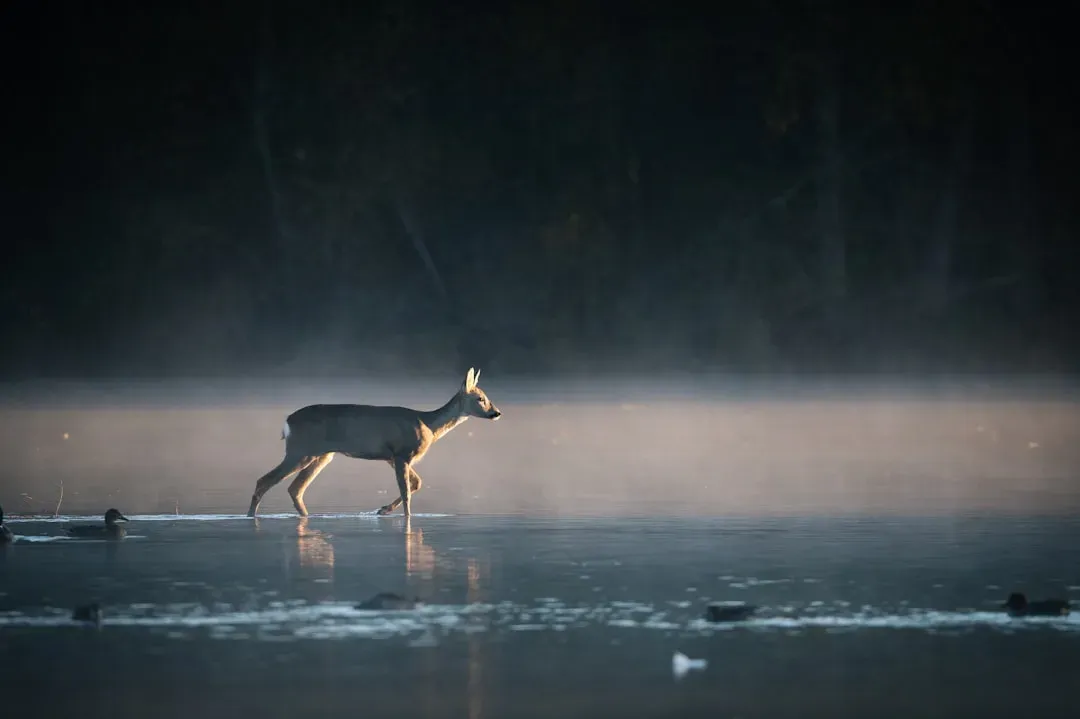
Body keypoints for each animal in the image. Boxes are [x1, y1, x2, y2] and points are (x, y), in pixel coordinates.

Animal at [246, 368, 501, 518]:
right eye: (480, 398)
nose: (496, 413)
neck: (428, 425)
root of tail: (287, 421)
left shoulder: (392, 457)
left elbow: (417, 483)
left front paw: (383, 510)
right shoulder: (401, 454)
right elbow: (407, 491)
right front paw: (402, 516)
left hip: (321, 455)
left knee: (295, 488)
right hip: (300, 450)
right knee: (264, 480)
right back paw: (250, 516)